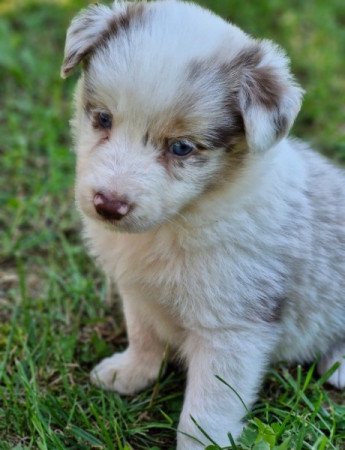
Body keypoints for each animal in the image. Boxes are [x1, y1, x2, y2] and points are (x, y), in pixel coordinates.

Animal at [61, 1, 344, 448]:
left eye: (181, 148)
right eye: (103, 119)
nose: (108, 205)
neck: (180, 220)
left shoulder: (231, 329)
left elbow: (207, 409)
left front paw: (201, 442)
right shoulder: (138, 293)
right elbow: (144, 335)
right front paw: (130, 373)